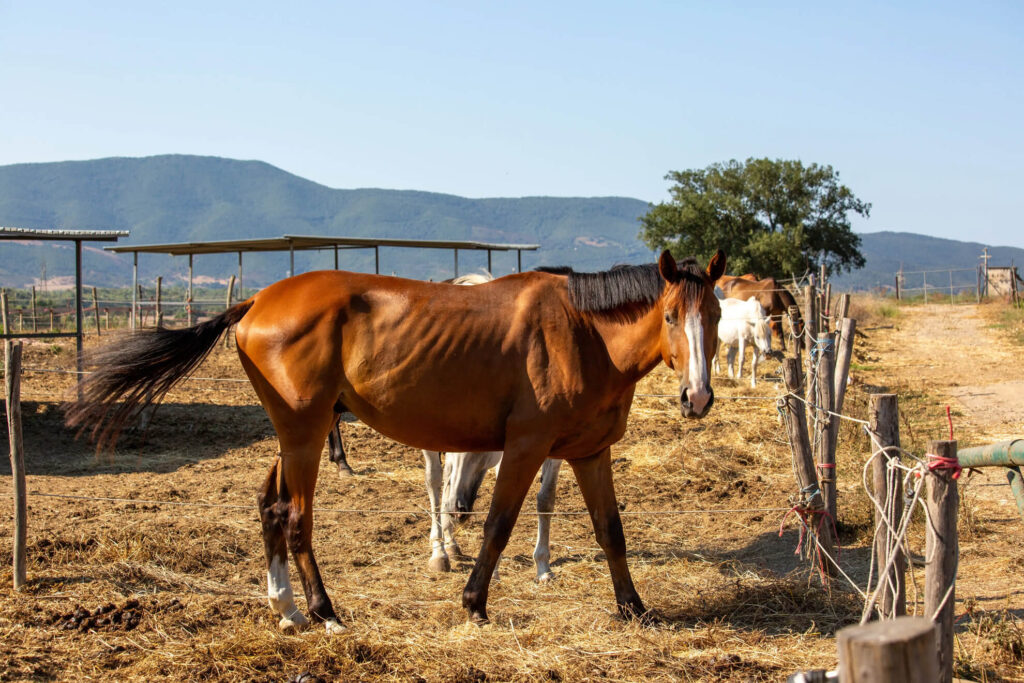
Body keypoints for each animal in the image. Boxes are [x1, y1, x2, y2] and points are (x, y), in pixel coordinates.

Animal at [66, 249, 725, 631]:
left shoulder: (590, 452)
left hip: (292, 436)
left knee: (270, 508)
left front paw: (634, 608)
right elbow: (498, 525)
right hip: (305, 434)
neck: (580, 330)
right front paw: (473, 602)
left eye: (716, 317)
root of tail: (255, 300)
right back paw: (324, 612)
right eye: (671, 316)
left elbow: (611, 530)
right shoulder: (526, 447)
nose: (698, 399)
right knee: (296, 517)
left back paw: (285, 608)